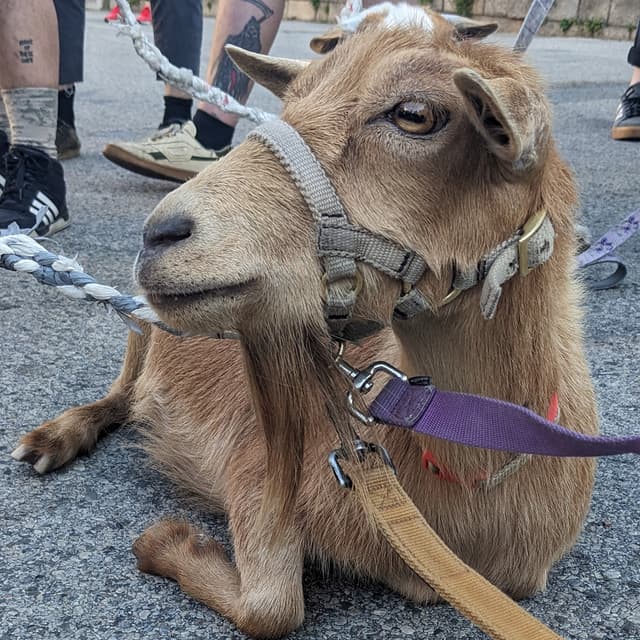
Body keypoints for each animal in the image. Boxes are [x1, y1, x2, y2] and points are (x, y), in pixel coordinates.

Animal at [12, 4, 598, 638]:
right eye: (290, 103)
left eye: (415, 115)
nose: (160, 233)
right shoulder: (252, 467)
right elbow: (273, 605)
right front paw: (166, 541)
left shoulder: (520, 580)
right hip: (143, 324)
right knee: (120, 391)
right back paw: (54, 437)